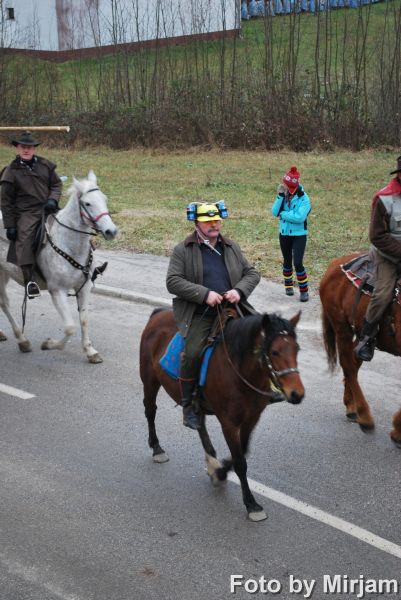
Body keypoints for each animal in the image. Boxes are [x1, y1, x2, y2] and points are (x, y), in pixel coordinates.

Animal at [0, 171, 117, 364]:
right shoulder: (57, 291)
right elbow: (70, 327)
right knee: (4, 303)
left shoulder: (84, 288)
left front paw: (90, 351)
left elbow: (84, 320)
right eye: (87, 203)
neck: (69, 243)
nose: (111, 231)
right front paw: (48, 344)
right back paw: (22, 339)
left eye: (104, 199)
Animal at [138, 308, 304, 524]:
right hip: (149, 379)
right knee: (150, 411)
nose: (297, 394)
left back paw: (210, 458)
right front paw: (251, 504)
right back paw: (157, 448)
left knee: (199, 423)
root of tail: (158, 313)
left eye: (297, 349)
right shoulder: (229, 423)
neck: (240, 371)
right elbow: (240, 462)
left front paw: (220, 472)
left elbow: (243, 451)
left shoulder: (252, 418)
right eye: (274, 352)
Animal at [318, 253, 400, 446]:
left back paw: (351, 405)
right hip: (342, 327)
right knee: (348, 364)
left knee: (354, 362)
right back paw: (364, 417)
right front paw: (397, 430)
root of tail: (334, 265)